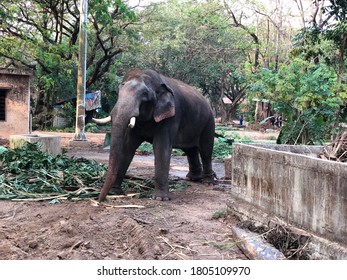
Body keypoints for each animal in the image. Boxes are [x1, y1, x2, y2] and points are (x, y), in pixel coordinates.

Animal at [94, 68, 216, 201]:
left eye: (145, 95)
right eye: (118, 93)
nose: (100, 200)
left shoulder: (171, 116)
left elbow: (161, 147)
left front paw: (160, 198)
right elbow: (127, 147)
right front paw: (115, 192)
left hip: (209, 122)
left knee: (205, 150)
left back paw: (208, 182)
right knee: (190, 150)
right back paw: (193, 178)